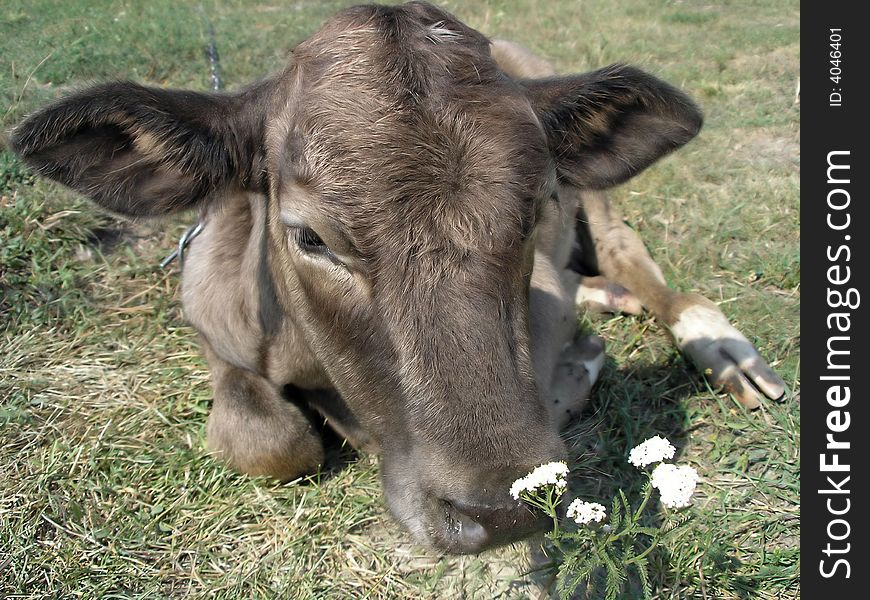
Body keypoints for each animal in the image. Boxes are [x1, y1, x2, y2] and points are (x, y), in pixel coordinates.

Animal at [8, 1, 784, 552]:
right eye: (309, 236)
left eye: (538, 207)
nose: (497, 512)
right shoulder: (208, 319)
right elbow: (268, 442)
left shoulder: (549, 299)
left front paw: (579, 368)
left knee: (632, 257)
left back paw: (718, 344)